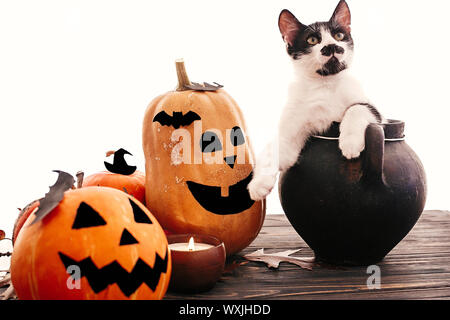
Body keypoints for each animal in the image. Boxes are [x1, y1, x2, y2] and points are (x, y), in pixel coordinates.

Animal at [248, 0, 384, 200]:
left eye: (339, 35)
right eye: (312, 40)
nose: (332, 46)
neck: (325, 84)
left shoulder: (374, 109)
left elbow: (357, 108)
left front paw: (350, 143)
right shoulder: (291, 130)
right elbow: (275, 148)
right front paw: (258, 184)